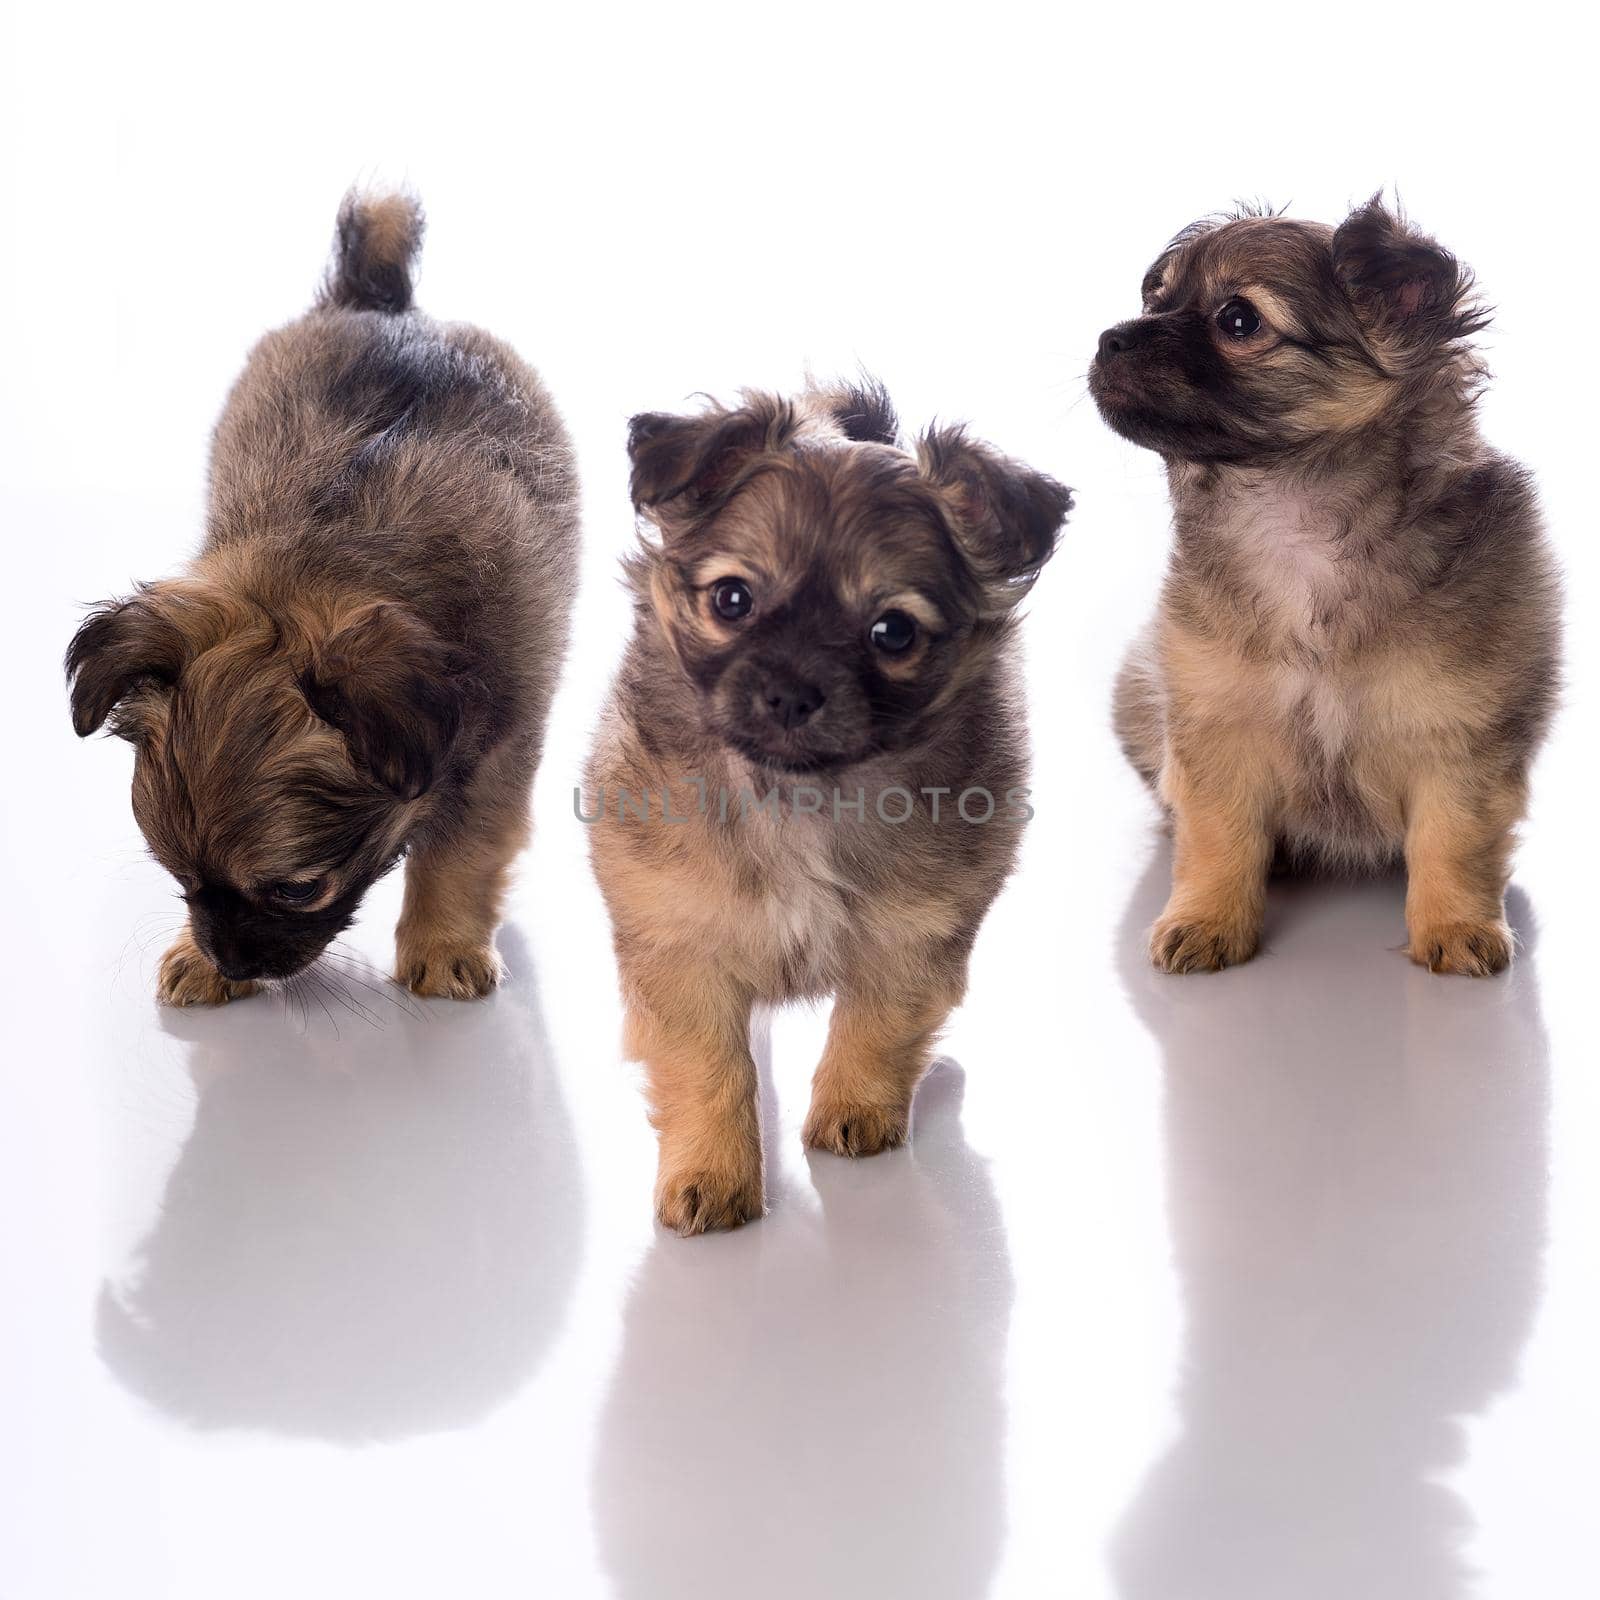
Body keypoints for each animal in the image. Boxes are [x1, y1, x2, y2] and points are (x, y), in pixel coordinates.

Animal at [70, 193, 582, 1004]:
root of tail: (380, 299)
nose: (231, 960)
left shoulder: (495, 753)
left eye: (297, 891)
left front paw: (443, 946)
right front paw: (196, 957)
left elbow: (459, 852)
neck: (330, 564)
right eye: (180, 878)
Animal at [582, 380, 1068, 1228]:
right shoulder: (680, 949)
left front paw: (856, 1114)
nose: (789, 691)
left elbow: (878, 1025)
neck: (800, 795)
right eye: (732, 599)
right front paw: (712, 1177)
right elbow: (711, 1067)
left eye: (892, 632)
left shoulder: (915, 932)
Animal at [1094, 200, 1555, 972]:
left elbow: (1454, 840)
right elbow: (1216, 839)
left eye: (1238, 319)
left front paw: (1456, 928)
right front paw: (1207, 921)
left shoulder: (1462, 738)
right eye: (1155, 301)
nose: (1110, 339)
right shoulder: (1217, 728)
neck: (1296, 521)